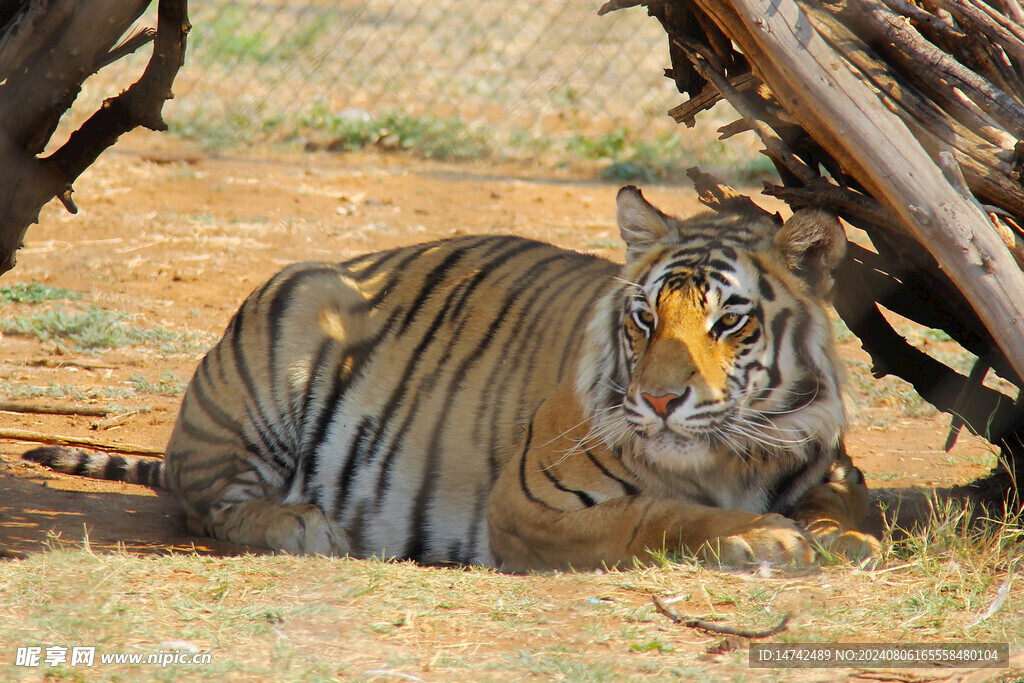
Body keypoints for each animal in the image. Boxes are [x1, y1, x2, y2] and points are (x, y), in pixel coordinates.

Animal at [23, 186, 878, 570]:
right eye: (644, 318)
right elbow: (662, 513)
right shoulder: (532, 503)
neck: (727, 456)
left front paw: (838, 537)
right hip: (293, 321)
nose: (660, 400)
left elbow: (846, 509)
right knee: (208, 506)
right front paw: (767, 536)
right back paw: (304, 524)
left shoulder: (833, 468)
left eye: (728, 321)